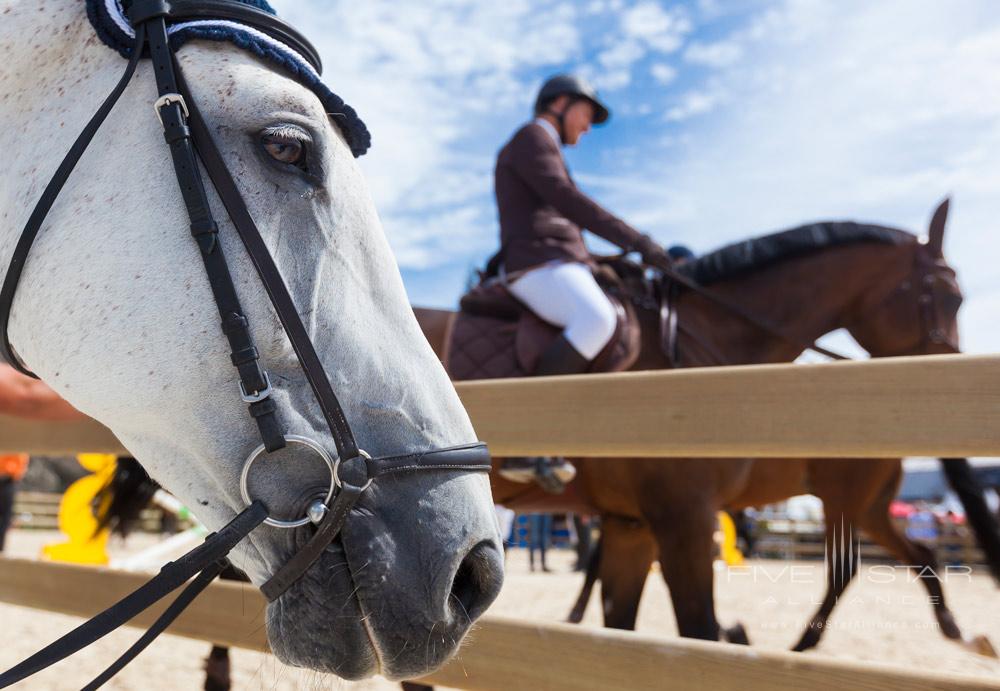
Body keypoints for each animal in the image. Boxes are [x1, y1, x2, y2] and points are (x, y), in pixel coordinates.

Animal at [412, 197, 992, 656]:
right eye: (948, 296)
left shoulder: (634, 524)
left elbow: (623, 629)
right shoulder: (681, 519)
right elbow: (697, 631)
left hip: (855, 502)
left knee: (889, 561)